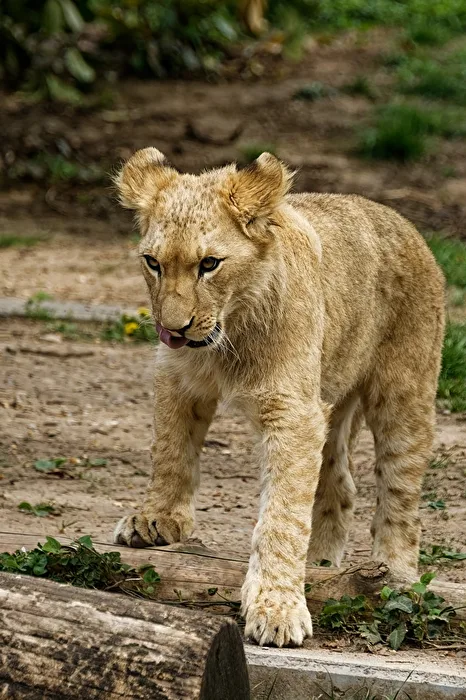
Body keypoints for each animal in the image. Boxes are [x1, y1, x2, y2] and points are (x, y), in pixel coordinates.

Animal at [113, 148, 445, 647]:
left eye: (209, 264)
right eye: (153, 263)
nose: (173, 330)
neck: (228, 336)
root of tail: (405, 224)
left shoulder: (292, 411)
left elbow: (282, 515)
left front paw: (277, 608)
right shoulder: (178, 379)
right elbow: (170, 451)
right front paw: (157, 519)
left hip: (404, 394)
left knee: (400, 494)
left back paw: (396, 578)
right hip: (331, 396)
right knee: (339, 484)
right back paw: (322, 566)